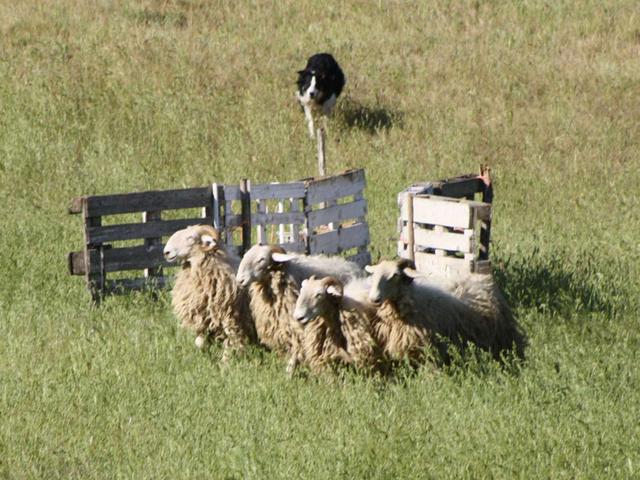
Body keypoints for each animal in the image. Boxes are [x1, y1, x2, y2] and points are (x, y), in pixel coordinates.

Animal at [162, 225, 255, 360]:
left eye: (191, 238)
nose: (166, 252)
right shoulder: (202, 318)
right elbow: (199, 342)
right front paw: (205, 357)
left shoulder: (231, 317)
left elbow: (232, 341)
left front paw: (226, 362)